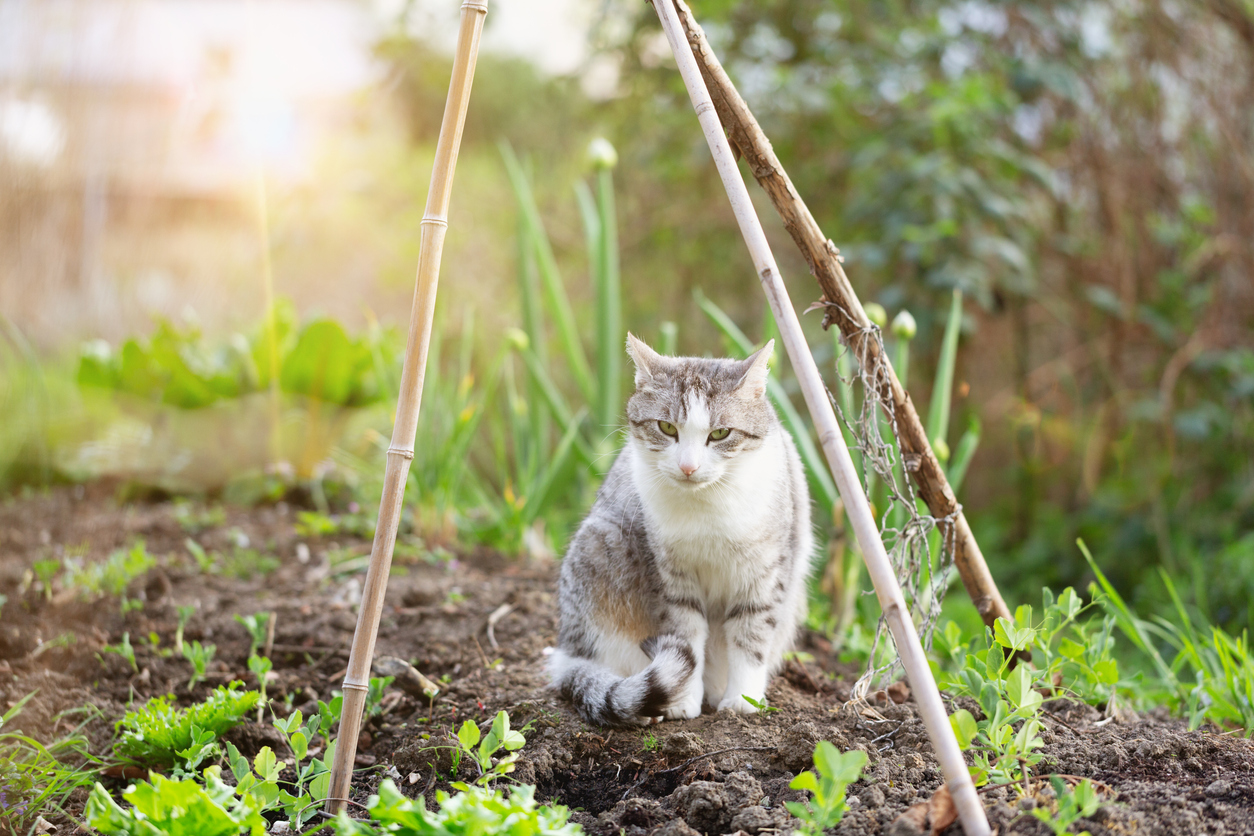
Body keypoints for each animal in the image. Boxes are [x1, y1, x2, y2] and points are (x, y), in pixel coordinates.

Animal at [549, 333, 812, 726]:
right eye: (667, 428)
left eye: (720, 433)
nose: (689, 467)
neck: (706, 508)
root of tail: (567, 649)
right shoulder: (672, 577)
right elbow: (686, 636)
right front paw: (683, 700)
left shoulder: (765, 573)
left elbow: (750, 637)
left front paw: (743, 700)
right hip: (596, 553)